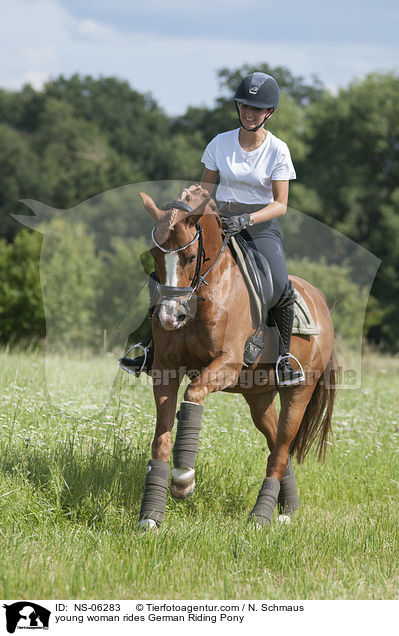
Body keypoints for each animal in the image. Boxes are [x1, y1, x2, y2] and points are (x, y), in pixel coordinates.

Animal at [137, 184, 338, 532]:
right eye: (155, 255)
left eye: (191, 257)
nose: (169, 317)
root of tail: (320, 300)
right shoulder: (165, 369)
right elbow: (161, 438)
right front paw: (151, 515)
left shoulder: (226, 364)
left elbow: (193, 396)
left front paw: (183, 478)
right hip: (258, 396)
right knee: (276, 445)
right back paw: (287, 507)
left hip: (299, 392)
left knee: (281, 449)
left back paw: (261, 517)